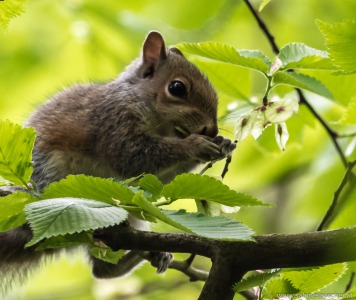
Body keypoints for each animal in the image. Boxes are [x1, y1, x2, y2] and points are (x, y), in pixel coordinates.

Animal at [0, 31, 236, 288]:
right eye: (177, 88)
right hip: (49, 177)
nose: (211, 130)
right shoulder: (114, 123)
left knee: (103, 269)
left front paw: (224, 143)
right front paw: (195, 145)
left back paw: (149, 254)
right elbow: (133, 157)